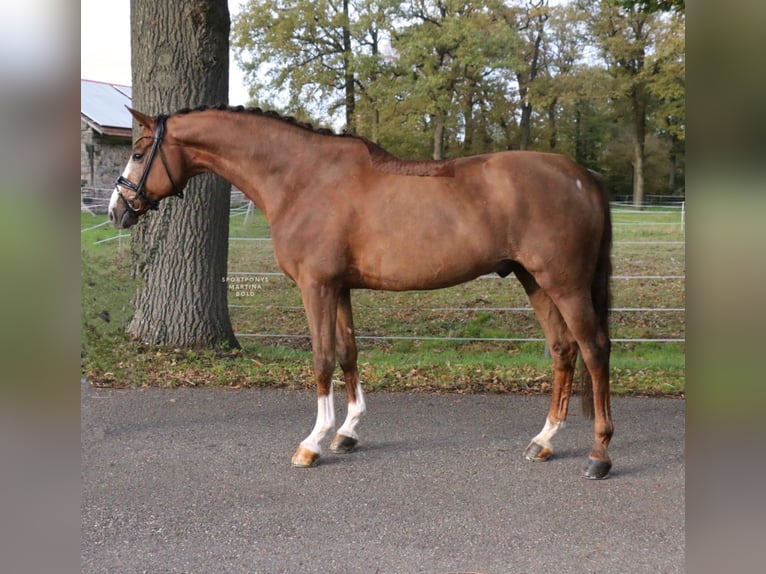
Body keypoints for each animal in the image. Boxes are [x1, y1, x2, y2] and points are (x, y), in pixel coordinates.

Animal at [109, 104, 614, 479]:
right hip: (535, 281)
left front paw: (312, 443)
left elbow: (321, 359)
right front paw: (347, 433)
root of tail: (583, 176)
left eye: (138, 151)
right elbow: (348, 353)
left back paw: (599, 456)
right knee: (563, 350)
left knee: (593, 350)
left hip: (564, 283)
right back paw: (544, 441)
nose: (117, 210)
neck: (302, 177)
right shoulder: (340, 288)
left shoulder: (316, 286)